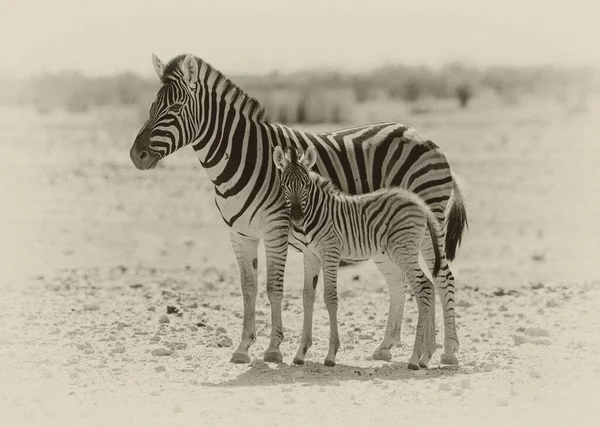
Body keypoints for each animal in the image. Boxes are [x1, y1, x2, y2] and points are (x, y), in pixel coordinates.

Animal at [274, 145, 442, 370]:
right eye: (284, 185)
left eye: (306, 184)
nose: (296, 217)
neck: (316, 211)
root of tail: (419, 203)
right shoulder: (310, 256)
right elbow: (307, 296)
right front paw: (301, 353)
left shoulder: (330, 250)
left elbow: (330, 297)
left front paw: (331, 355)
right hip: (406, 249)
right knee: (429, 285)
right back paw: (426, 357)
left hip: (403, 249)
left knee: (423, 286)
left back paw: (415, 359)